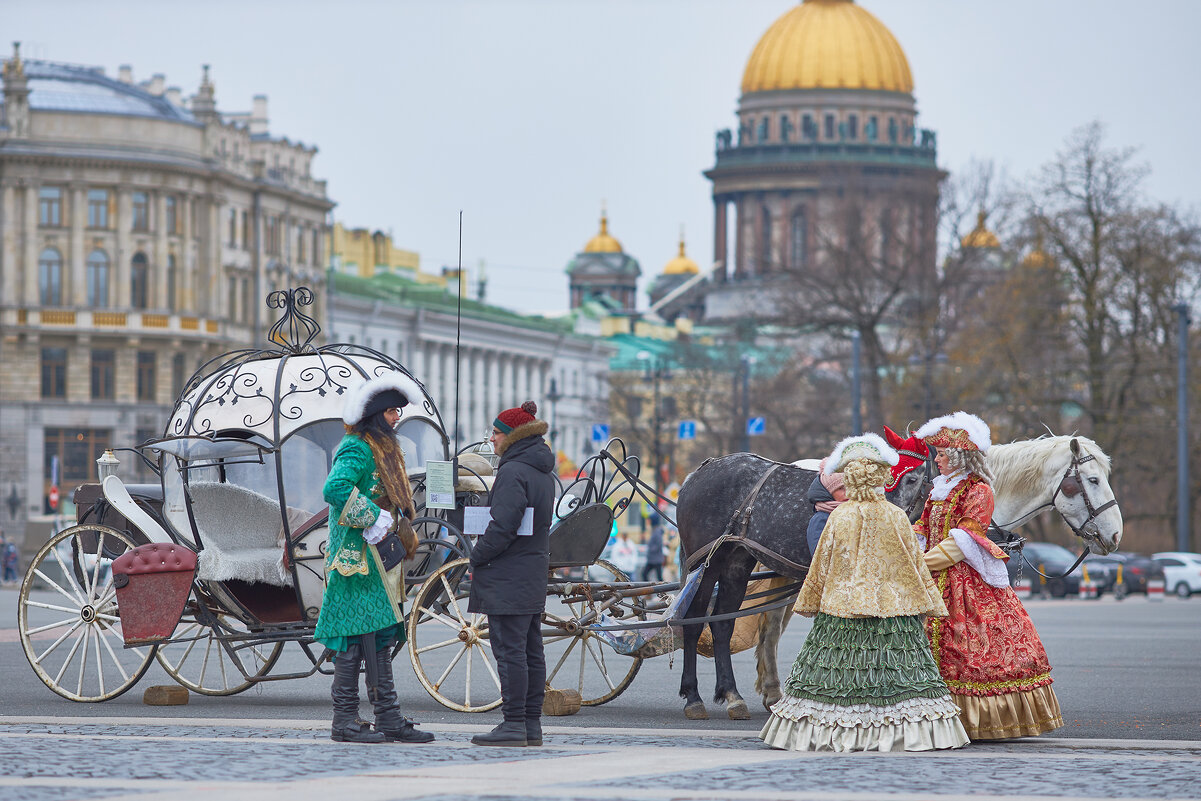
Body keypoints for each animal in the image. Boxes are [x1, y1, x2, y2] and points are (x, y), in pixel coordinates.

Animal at [677, 451, 927, 720]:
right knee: (693, 622)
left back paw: (733, 694)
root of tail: (699, 472)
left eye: (912, 478)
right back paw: (694, 697)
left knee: (723, 624)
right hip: (705, 565)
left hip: (736, 564)